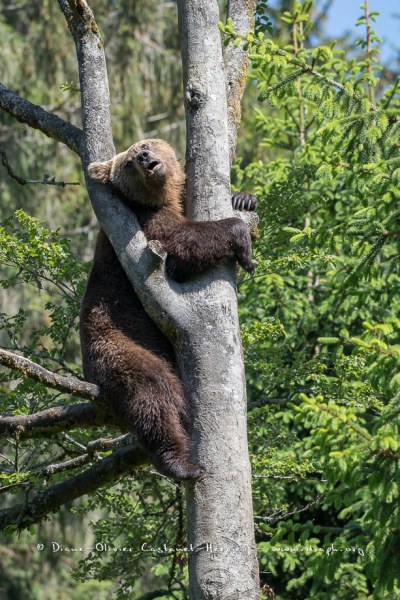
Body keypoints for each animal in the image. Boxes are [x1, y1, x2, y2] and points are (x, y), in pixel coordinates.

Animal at [81, 138, 256, 480]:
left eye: (145, 144)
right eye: (127, 163)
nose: (143, 156)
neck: (165, 198)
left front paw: (243, 198)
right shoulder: (143, 228)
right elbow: (184, 243)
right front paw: (241, 239)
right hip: (118, 343)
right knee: (152, 393)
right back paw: (181, 464)